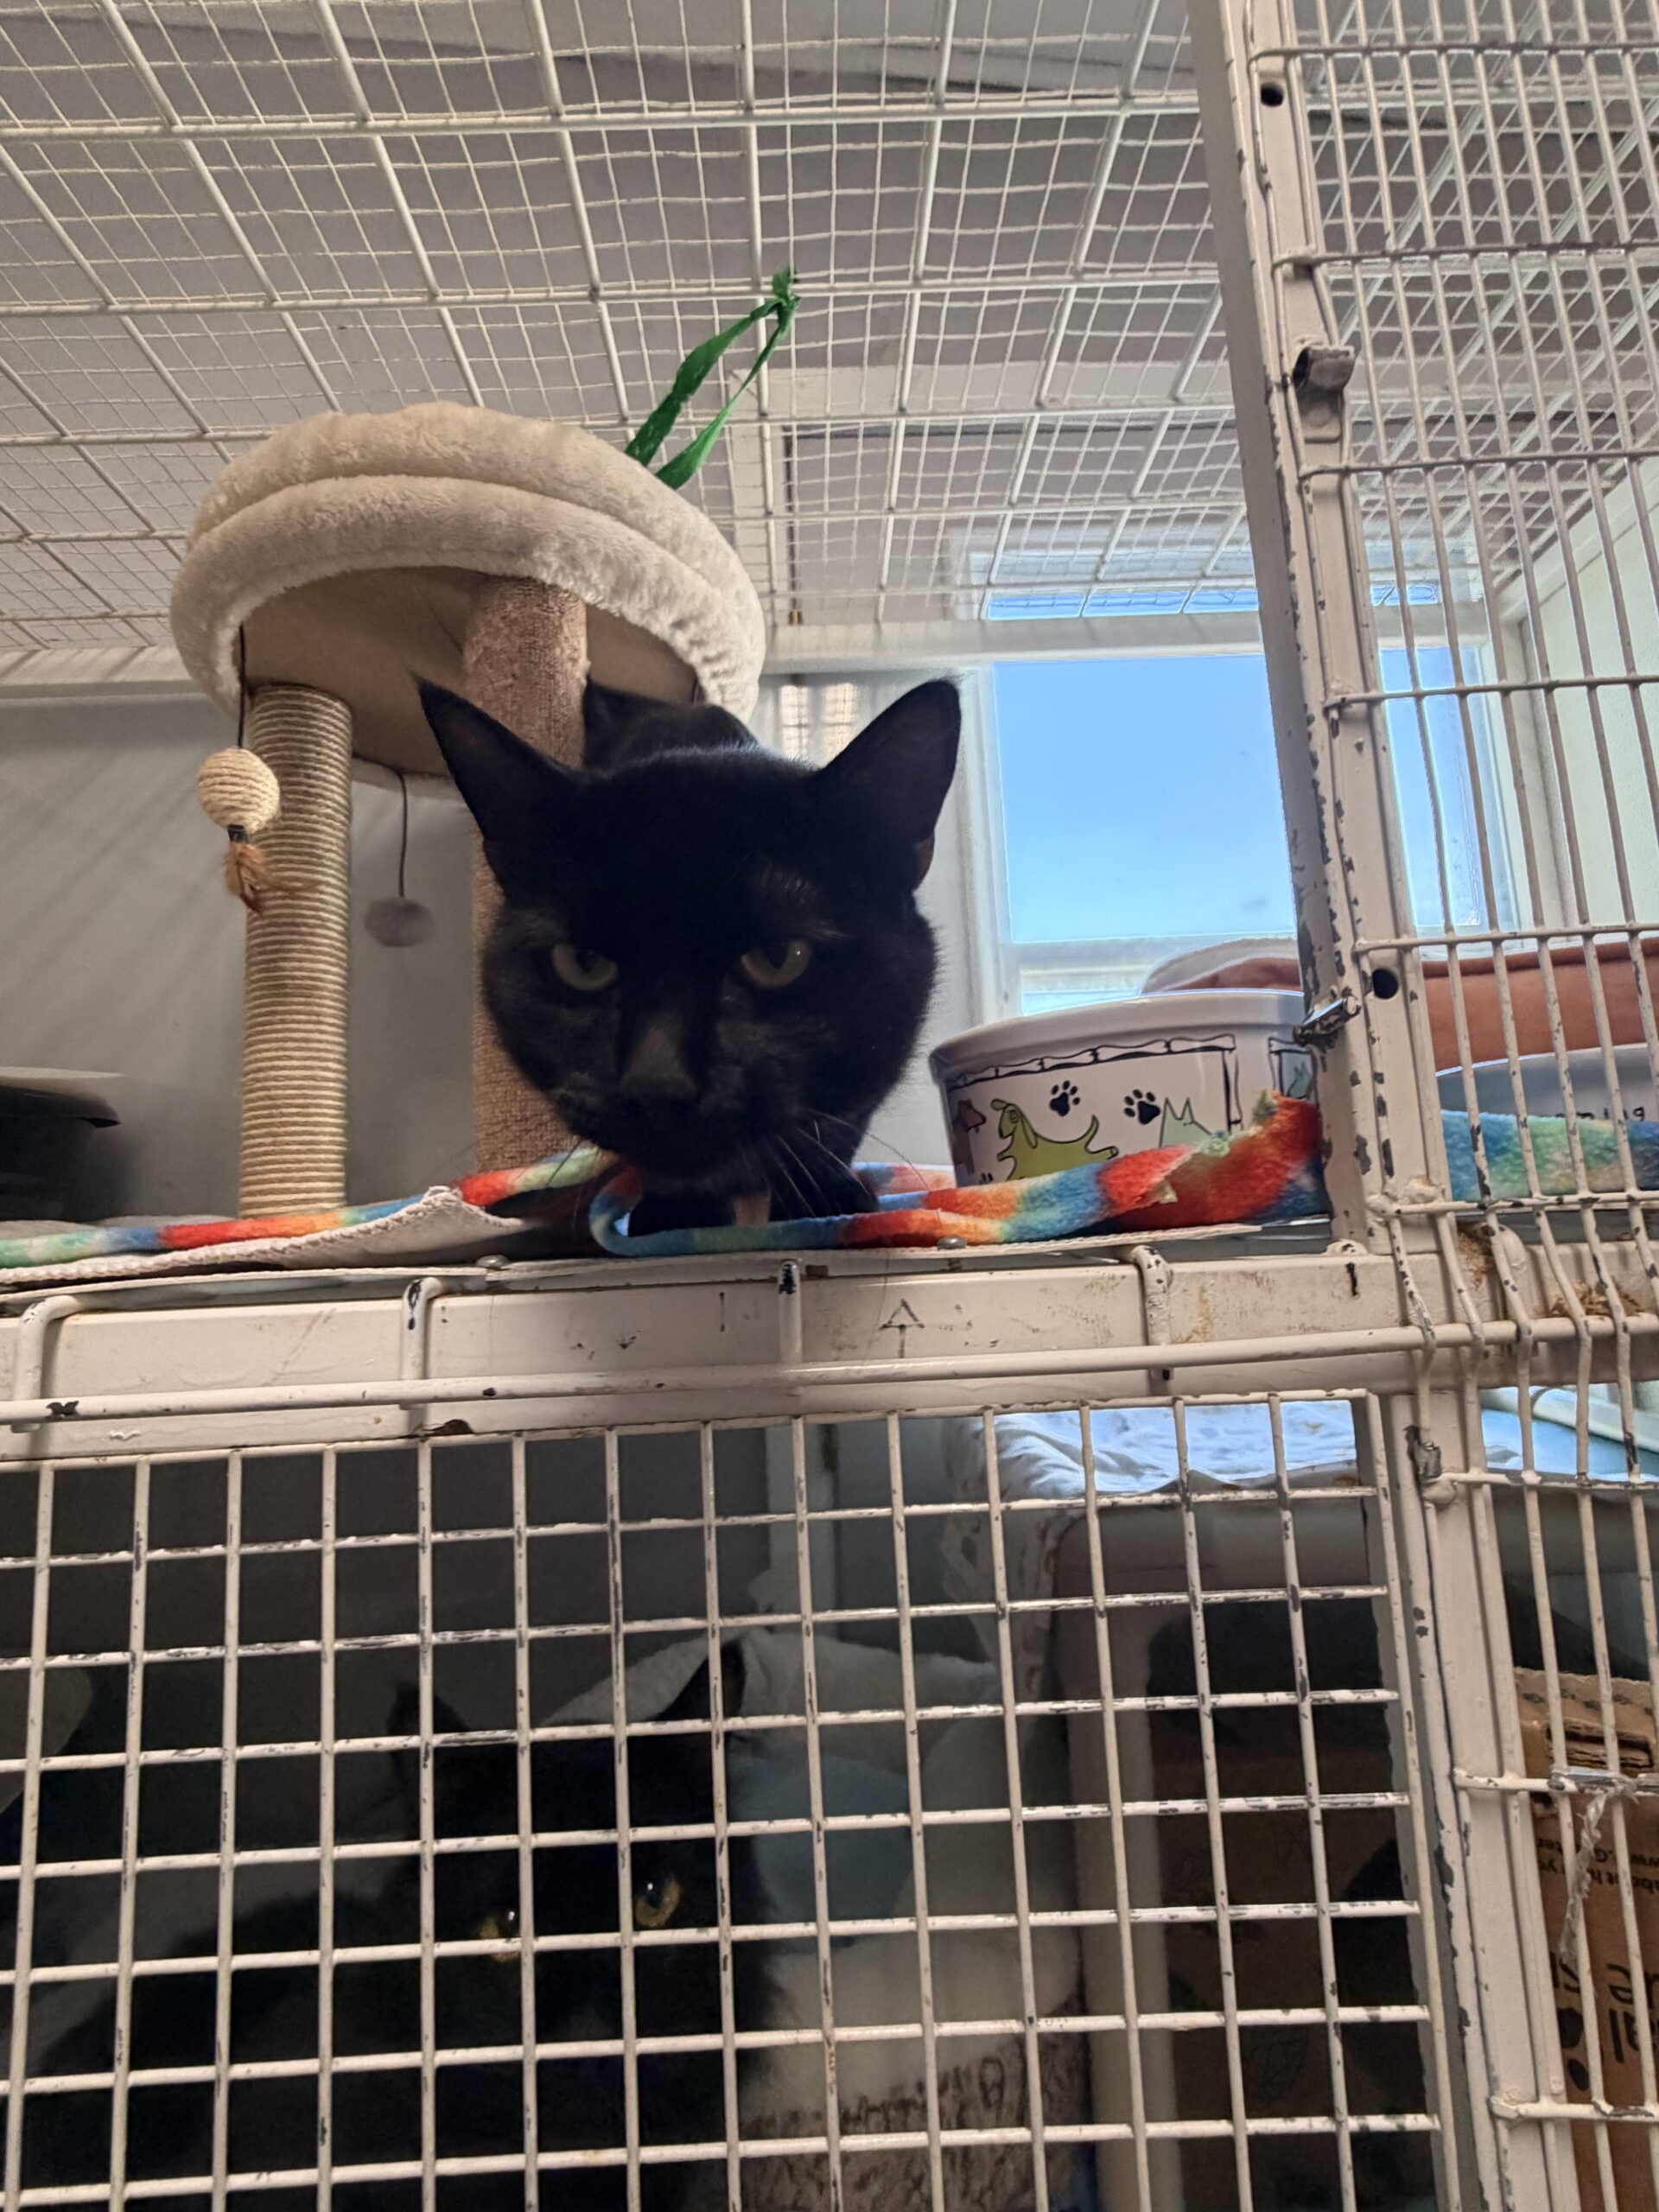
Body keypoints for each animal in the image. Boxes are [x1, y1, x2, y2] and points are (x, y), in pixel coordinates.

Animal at [420, 676, 960, 1237]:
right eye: (583, 962)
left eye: (778, 958)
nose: (657, 1083)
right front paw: (675, 1216)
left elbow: (832, 1131)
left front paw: (819, 1200)